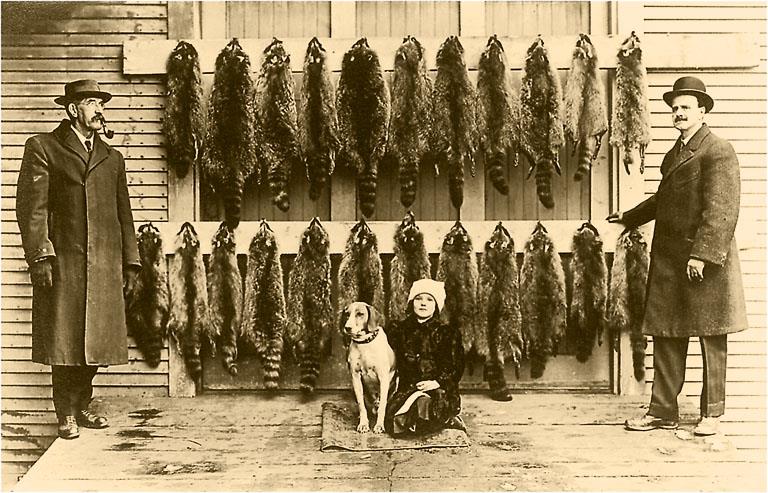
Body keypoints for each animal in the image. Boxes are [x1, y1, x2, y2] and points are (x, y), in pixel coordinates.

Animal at [341, 302, 397, 433]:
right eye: (347, 314)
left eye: (360, 314)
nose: (347, 327)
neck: (365, 343)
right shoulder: (355, 376)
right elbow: (361, 405)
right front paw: (363, 424)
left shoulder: (383, 377)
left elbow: (383, 405)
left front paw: (379, 425)